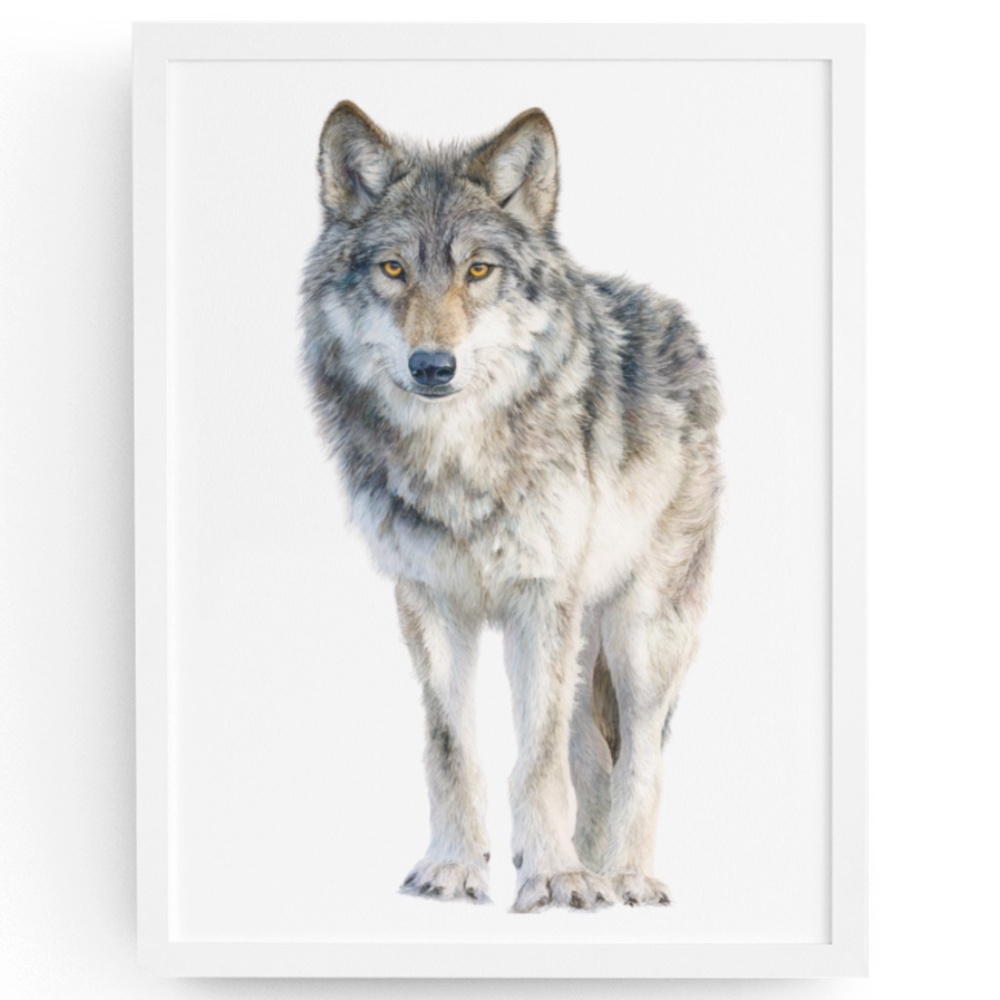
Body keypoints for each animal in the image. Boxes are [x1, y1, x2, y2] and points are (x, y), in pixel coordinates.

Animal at [300, 102, 721, 912]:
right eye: (393, 269)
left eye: (478, 270)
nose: (432, 366)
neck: (457, 464)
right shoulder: (430, 601)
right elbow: (451, 747)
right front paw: (458, 867)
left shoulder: (539, 597)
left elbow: (538, 757)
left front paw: (555, 876)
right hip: (585, 638)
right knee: (592, 754)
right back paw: (592, 868)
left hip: (640, 631)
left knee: (638, 755)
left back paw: (624, 876)